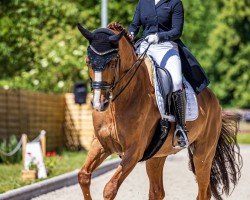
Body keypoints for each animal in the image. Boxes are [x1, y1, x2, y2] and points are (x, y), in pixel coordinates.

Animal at [77, 23, 242, 200]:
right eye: (88, 61)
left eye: (113, 62)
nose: (99, 103)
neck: (119, 103)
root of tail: (214, 100)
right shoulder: (100, 144)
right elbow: (83, 176)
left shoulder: (133, 152)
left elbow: (110, 188)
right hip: (158, 155)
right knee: (157, 192)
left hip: (203, 155)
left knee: (203, 192)